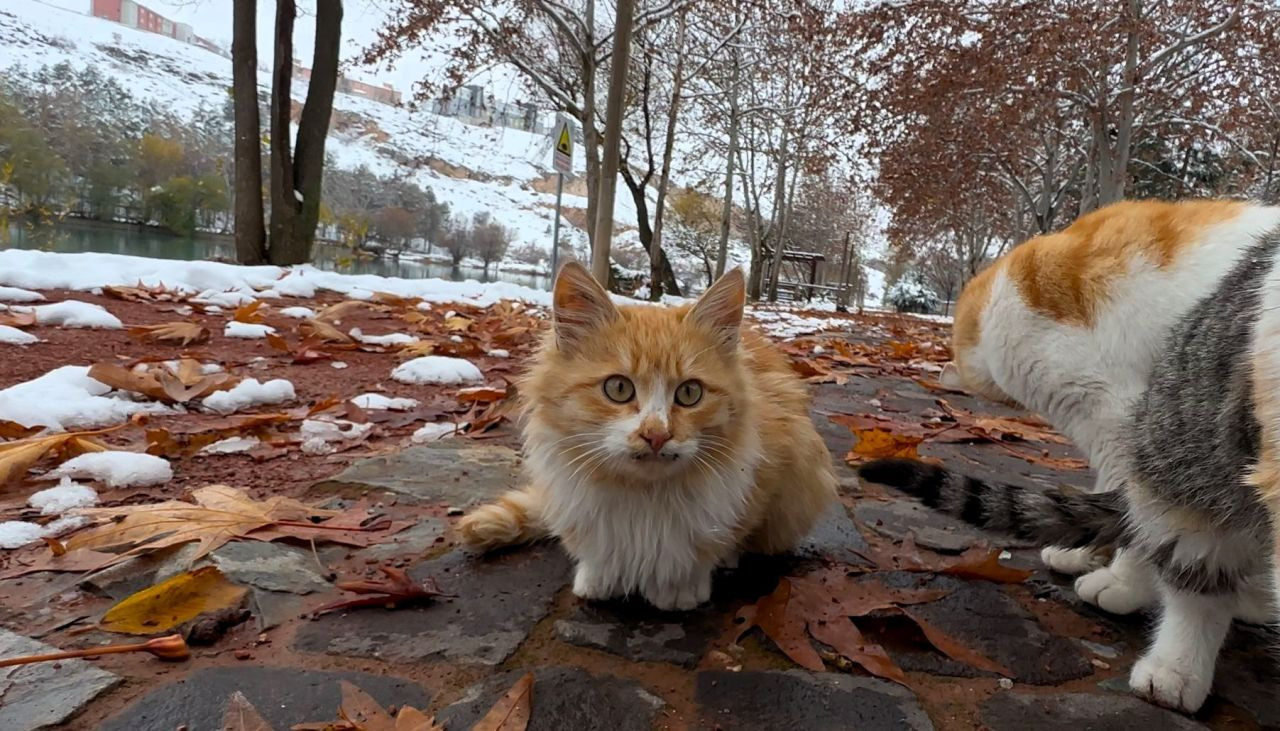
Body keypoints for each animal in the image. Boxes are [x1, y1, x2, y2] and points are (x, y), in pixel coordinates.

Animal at [460, 259, 839, 609]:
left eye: (690, 393)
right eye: (618, 388)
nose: (656, 435)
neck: (644, 498)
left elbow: (719, 542)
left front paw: (680, 587)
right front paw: (600, 578)